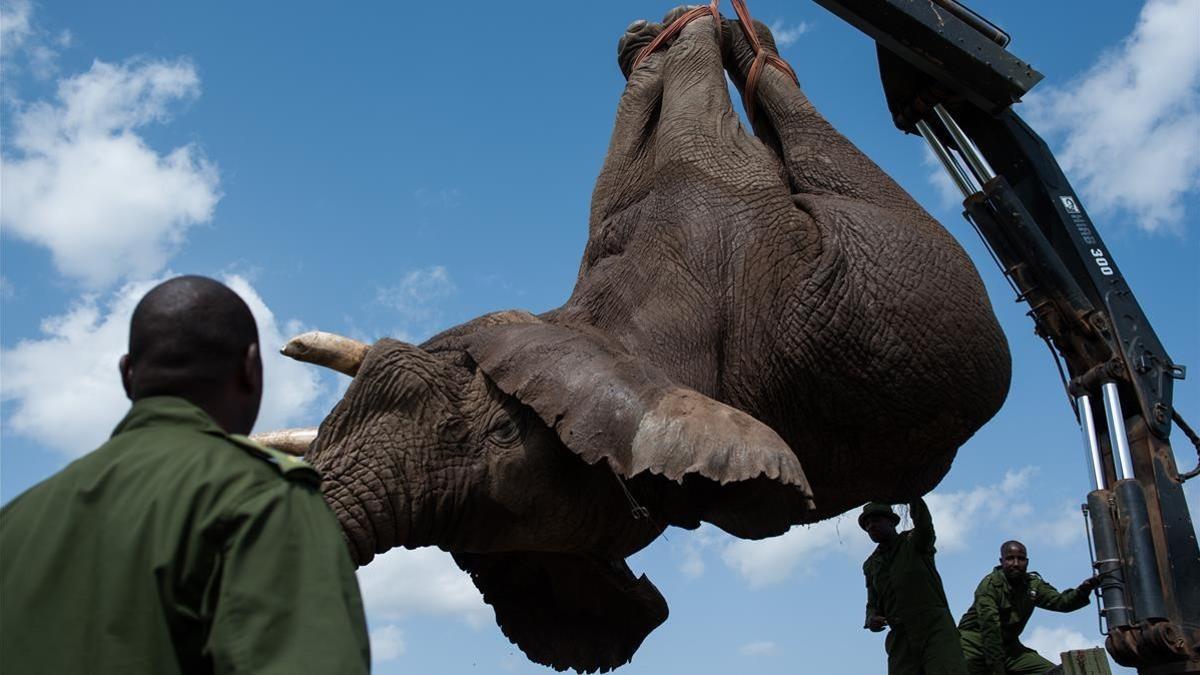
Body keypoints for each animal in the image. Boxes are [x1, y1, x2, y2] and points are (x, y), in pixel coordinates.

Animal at [265, 10, 1012, 672]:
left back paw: (729, 39)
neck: (603, 329)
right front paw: (653, 43)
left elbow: (680, 137)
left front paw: (672, 36)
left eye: (500, 438)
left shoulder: (714, 217)